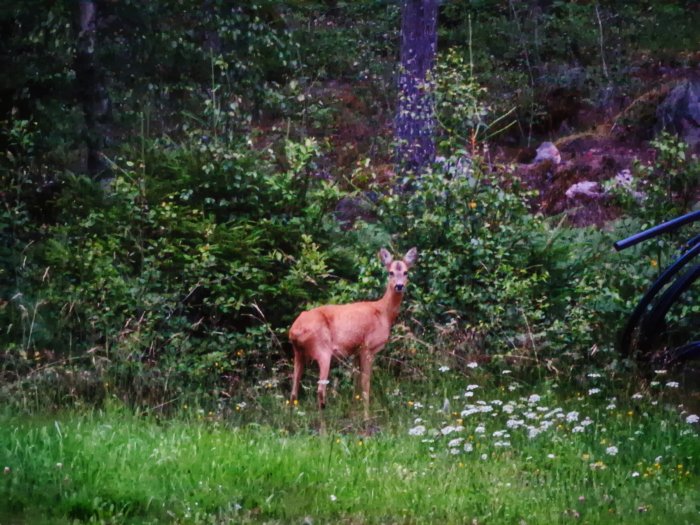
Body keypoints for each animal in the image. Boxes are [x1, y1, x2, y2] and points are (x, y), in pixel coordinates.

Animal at [288, 246, 416, 418]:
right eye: (390, 272)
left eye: (406, 272)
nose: (399, 286)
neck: (383, 313)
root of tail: (294, 330)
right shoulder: (368, 347)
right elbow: (365, 383)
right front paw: (367, 416)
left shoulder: (356, 350)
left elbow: (356, 383)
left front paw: (355, 411)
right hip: (322, 349)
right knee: (320, 390)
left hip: (298, 353)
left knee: (293, 390)